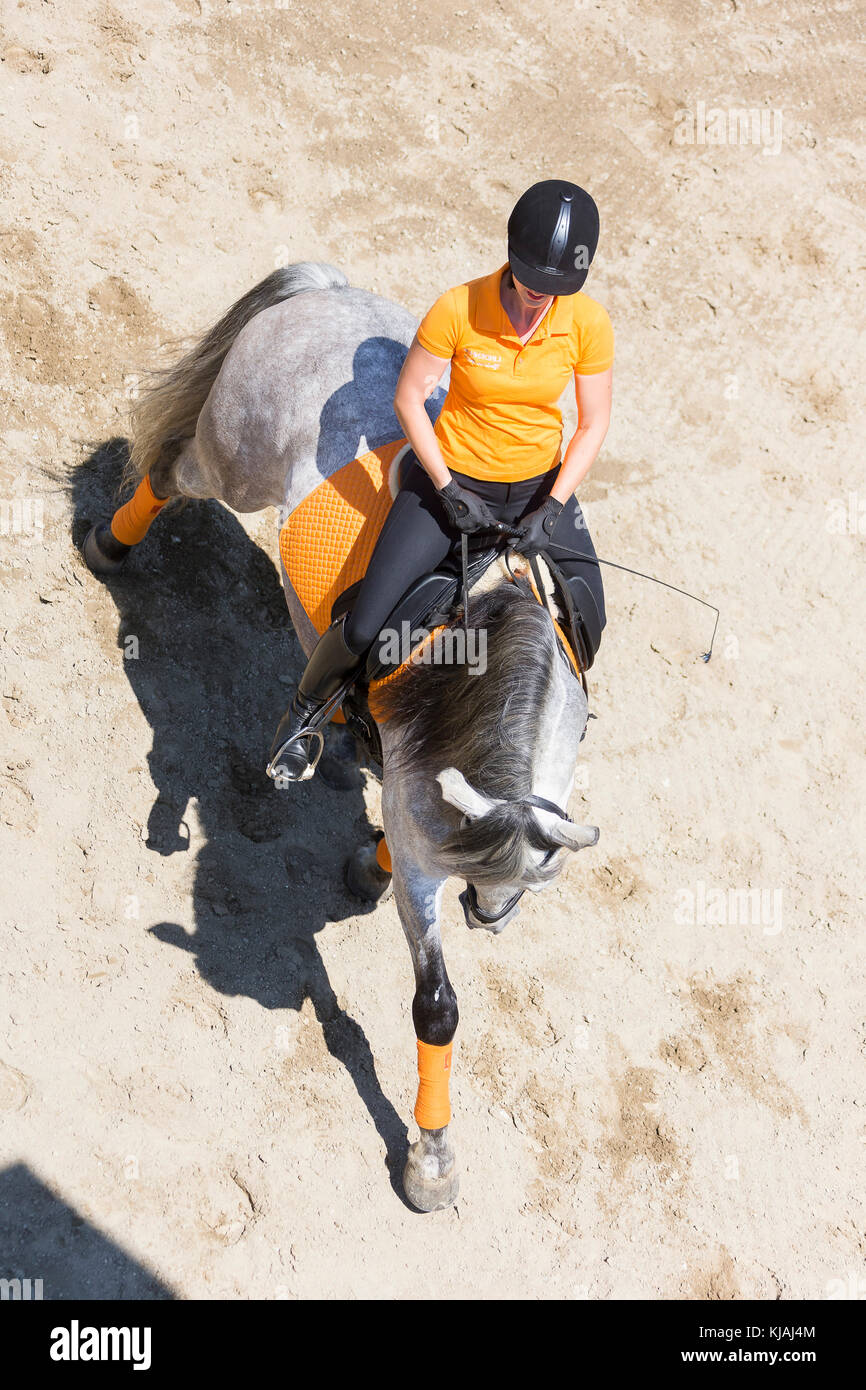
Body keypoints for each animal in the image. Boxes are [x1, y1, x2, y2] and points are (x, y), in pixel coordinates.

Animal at [84, 262, 600, 1217]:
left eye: (540, 881)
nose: (490, 917)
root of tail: (325, 290)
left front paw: (368, 860)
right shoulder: (429, 840)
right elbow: (436, 1005)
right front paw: (430, 1160)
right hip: (235, 459)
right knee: (174, 470)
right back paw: (109, 543)